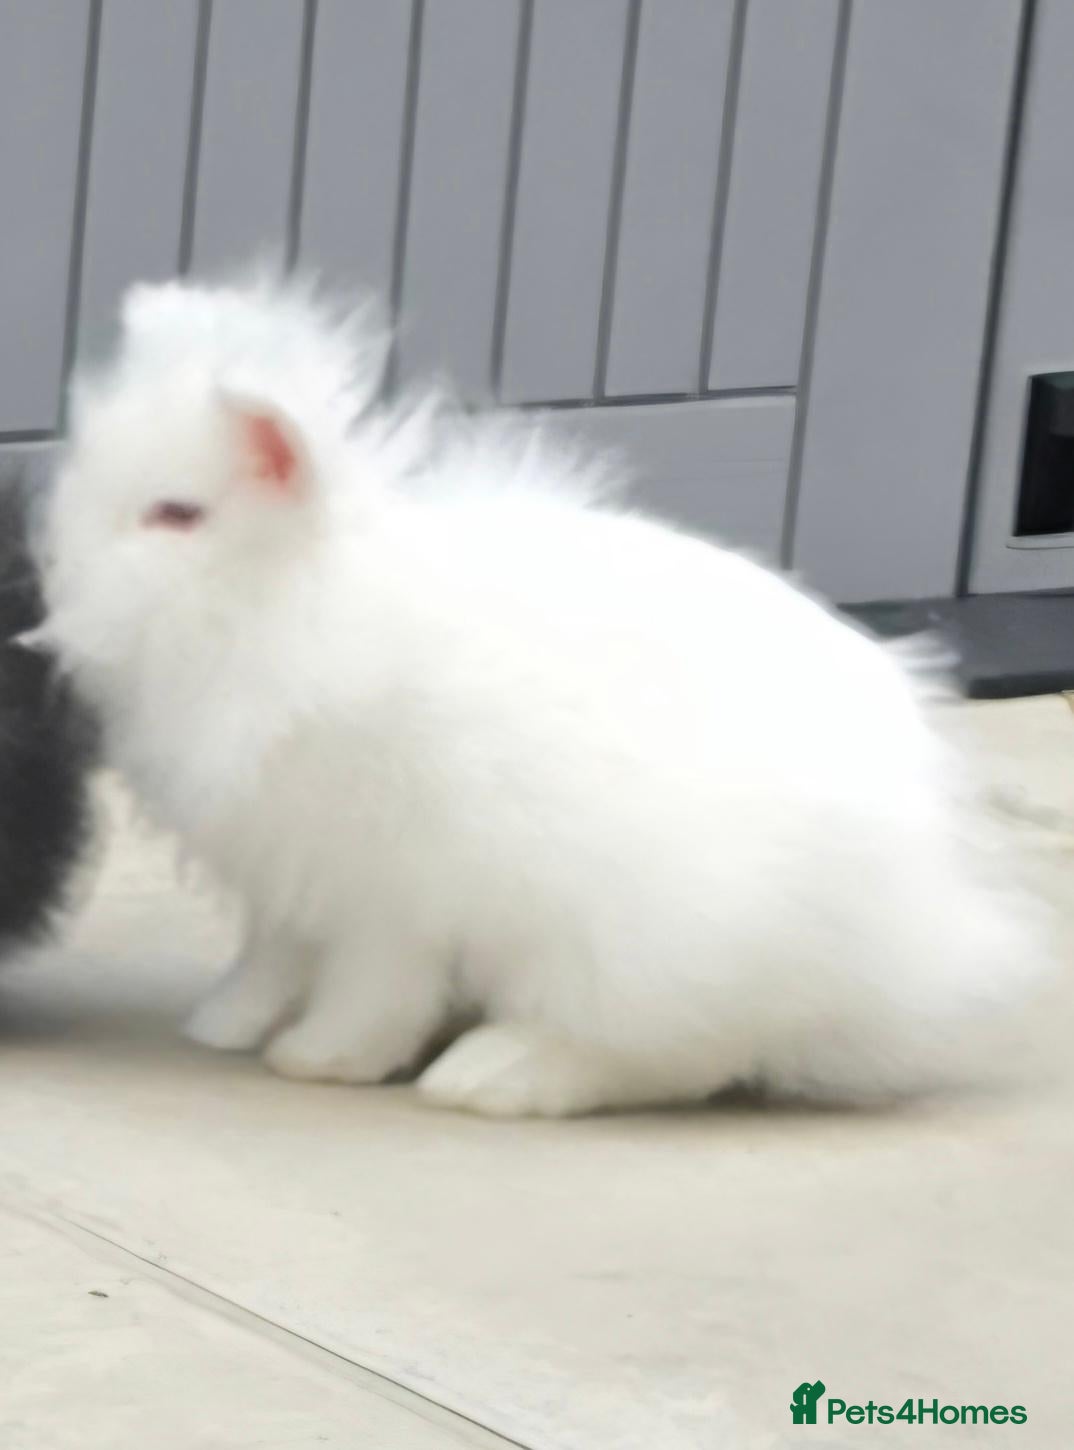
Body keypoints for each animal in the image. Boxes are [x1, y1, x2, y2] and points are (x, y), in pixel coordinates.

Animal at [30, 273, 1048, 1116]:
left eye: (176, 514)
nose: (54, 577)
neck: (278, 600)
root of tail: (928, 941)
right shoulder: (284, 873)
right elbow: (269, 960)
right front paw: (223, 1026)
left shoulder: (390, 887)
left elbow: (373, 987)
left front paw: (321, 1060)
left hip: (650, 942)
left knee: (667, 1056)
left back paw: (490, 1076)